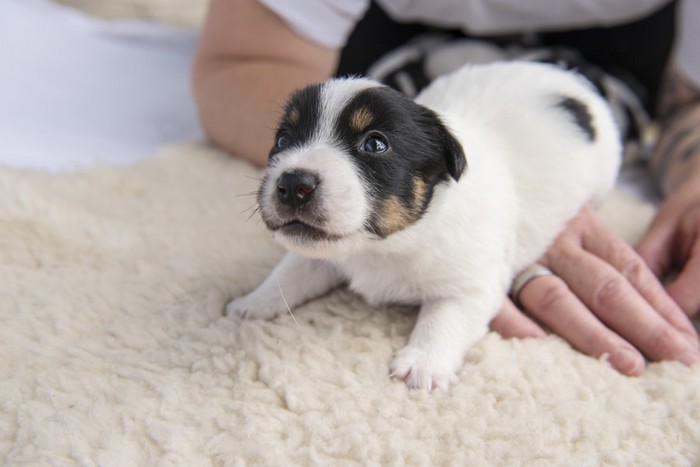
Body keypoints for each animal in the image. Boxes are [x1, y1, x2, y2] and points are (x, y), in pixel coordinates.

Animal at [227, 62, 620, 392]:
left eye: (375, 143)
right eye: (282, 140)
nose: (293, 184)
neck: (383, 246)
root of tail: (572, 76)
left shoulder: (472, 282)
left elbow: (444, 318)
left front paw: (424, 364)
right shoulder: (320, 252)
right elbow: (289, 274)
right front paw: (253, 302)